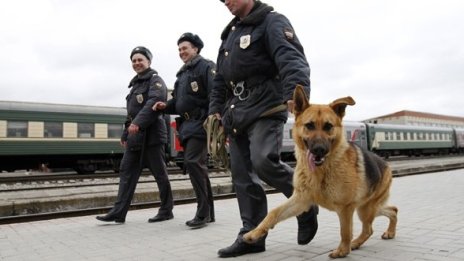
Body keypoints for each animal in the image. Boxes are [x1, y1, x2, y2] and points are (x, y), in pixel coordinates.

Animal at [243, 85, 398, 256]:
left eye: (328, 126)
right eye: (309, 125)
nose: (319, 150)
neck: (321, 170)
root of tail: (386, 165)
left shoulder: (345, 208)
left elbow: (345, 232)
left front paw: (342, 251)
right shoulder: (301, 200)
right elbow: (273, 212)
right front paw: (254, 233)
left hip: (365, 208)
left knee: (369, 228)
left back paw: (356, 243)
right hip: (366, 207)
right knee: (392, 210)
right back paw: (385, 234)